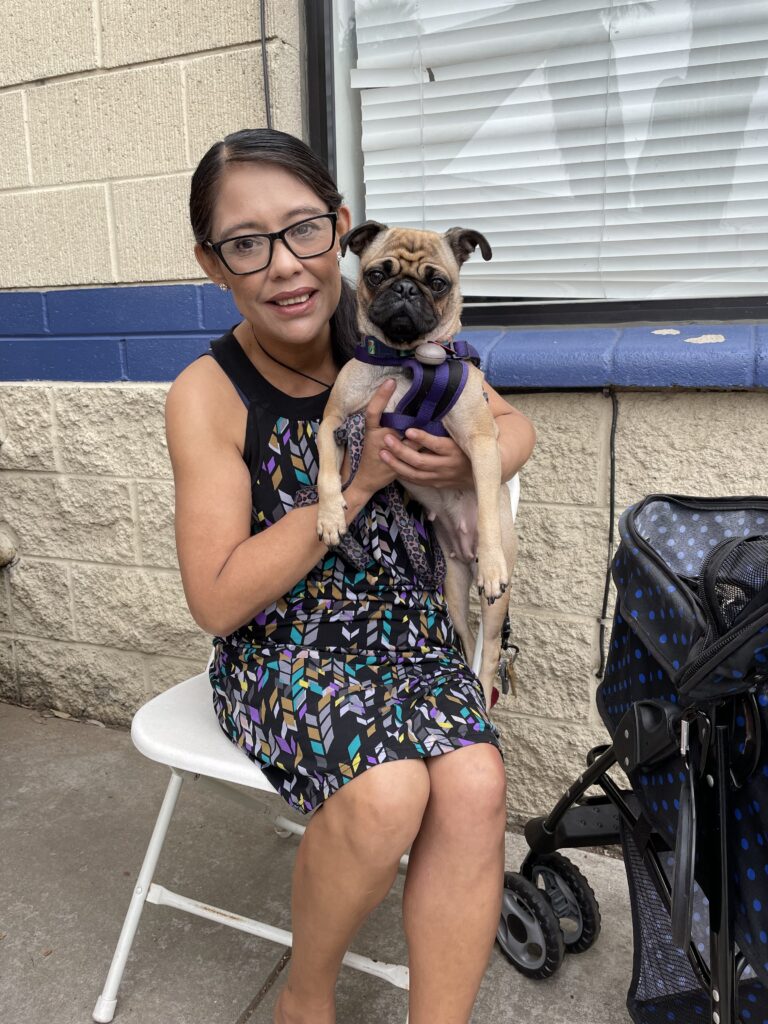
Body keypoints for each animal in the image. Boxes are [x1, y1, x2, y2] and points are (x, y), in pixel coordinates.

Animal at [315, 220, 520, 708]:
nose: (406, 289)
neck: (406, 361)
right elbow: (327, 474)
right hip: (452, 587)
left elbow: (488, 504)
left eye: (438, 283)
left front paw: (491, 559)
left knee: (488, 652)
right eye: (376, 275)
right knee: (466, 636)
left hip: (494, 605)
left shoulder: (482, 443)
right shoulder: (332, 423)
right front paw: (331, 517)